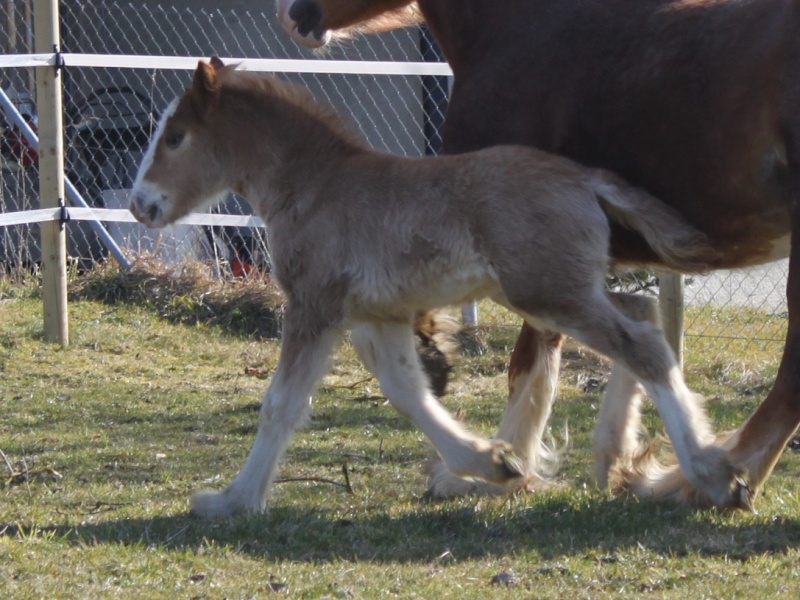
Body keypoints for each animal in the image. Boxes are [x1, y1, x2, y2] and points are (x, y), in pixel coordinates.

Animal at [128, 57, 748, 516]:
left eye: (175, 137)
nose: (140, 205)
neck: (316, 185)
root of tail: (583, 178)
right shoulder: (380, 315)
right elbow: (409, 391)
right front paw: (490, 462)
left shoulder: (313, 304)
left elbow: (282, 404)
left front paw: (233, 500)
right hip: (561, 288)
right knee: (641, 311)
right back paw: (614, 453)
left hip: (547, 292)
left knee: (640, 344)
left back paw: (713, 473)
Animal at [274, 0, 800, 510]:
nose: (294, 14)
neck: (515, 27)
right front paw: (610, 454)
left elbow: (530, 359)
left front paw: (498, 468)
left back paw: (700, 481)